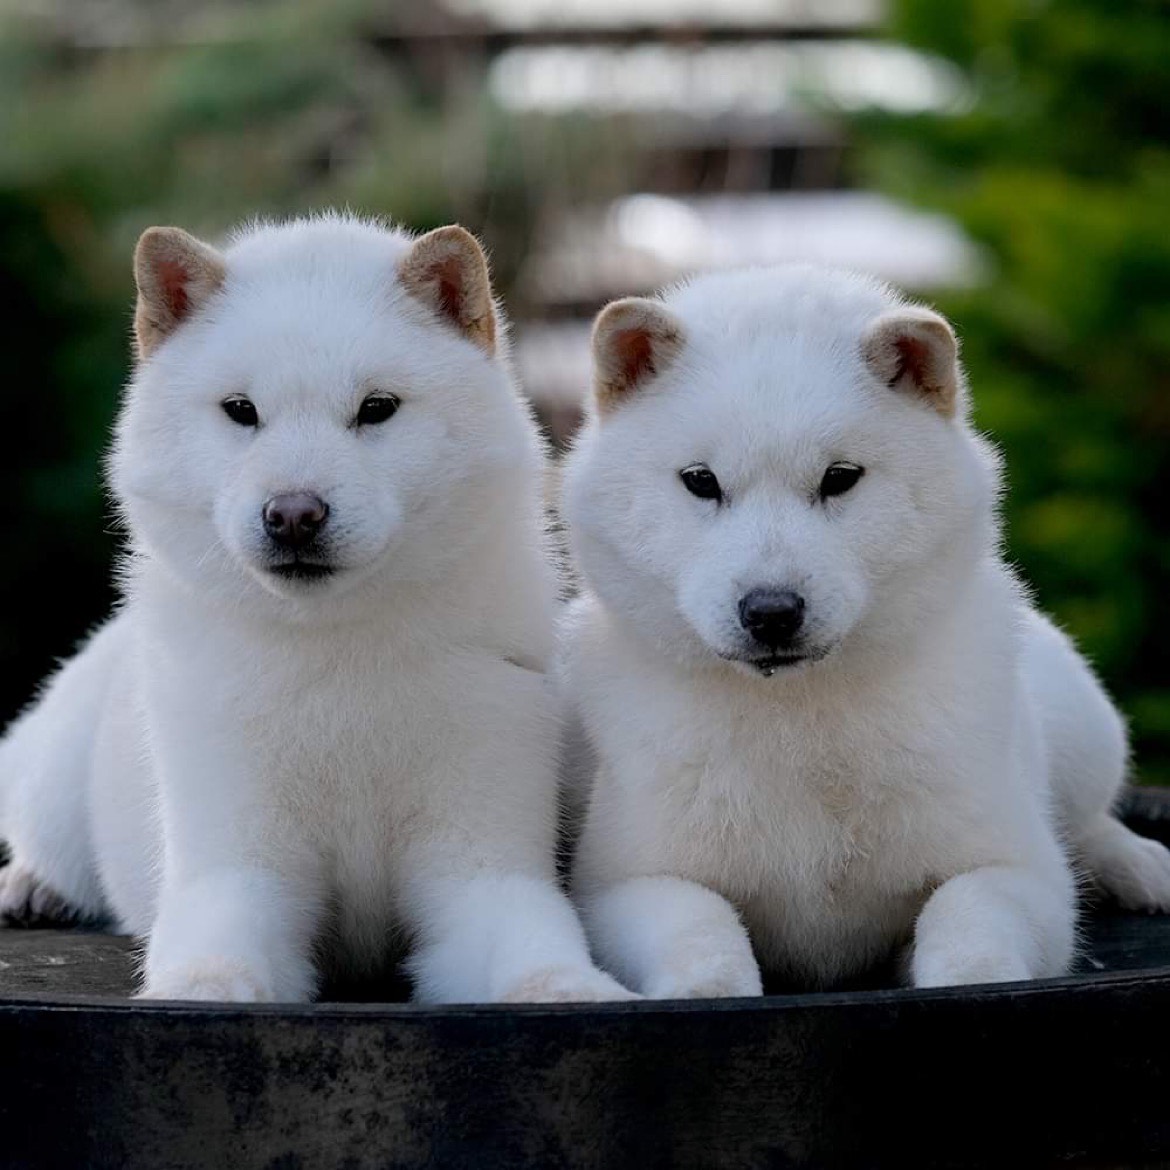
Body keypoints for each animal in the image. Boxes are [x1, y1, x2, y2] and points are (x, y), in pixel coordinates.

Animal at [0, 215, 631, 1001]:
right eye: (241, 411)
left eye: (376, 409)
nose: (293, 515)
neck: (340, 658)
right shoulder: (240, 866)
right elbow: (215, 961)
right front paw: (201, 992)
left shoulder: (481, 862)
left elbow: (535, 950)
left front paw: (569, 988)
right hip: (57, 770)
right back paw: (32, 886)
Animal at [559, 267, 1170, 996]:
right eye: (701, 482)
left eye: (840, 479)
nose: (771, 611)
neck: (801, 715)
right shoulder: (625, 886)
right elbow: (703, 939)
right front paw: (709, 987)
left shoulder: (1019, 873)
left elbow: (968, 927)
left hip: (1082, 728)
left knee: (1090, 815)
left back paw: (1139, 865)